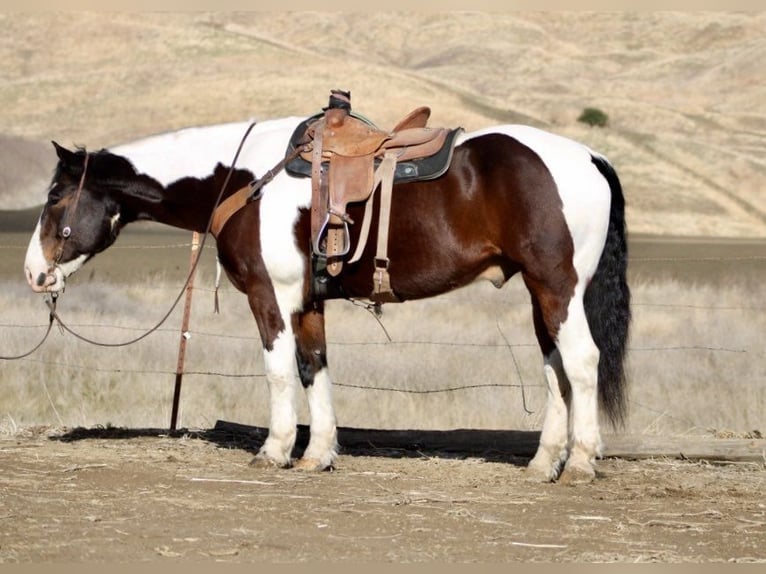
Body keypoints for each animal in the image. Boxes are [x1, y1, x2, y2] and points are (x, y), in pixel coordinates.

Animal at [23, 115, 630, 484]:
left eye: (54, 196)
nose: (34, 273)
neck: (244, 181)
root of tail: (591, 157)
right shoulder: (307, 302)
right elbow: (313, 367)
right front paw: (317, 454)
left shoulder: (269, 297)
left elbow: (278, 372)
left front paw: (274, 450)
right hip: (540, 294)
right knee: (555, 368)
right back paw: (544, 462)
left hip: (559, 287)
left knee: (582, 362)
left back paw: (580, 462)